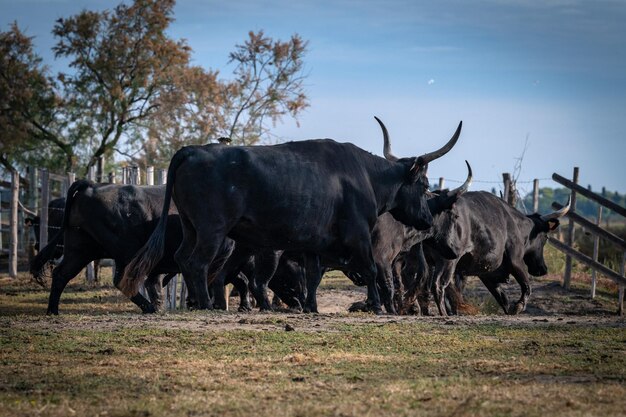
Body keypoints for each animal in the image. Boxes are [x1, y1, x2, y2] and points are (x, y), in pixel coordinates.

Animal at [122, 117, 460, 312]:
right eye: (424, 184)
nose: (427, 220)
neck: (365, 175)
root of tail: (192, 150)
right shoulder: (359, 234)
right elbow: (371, 270)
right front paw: (376, 306)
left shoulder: (314, 242)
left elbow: (311, 276)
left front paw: (311, 307)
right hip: (212, 230)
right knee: (197, 263)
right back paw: (205, 304)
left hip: (192, 227)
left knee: (184, 258)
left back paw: (199, 303)